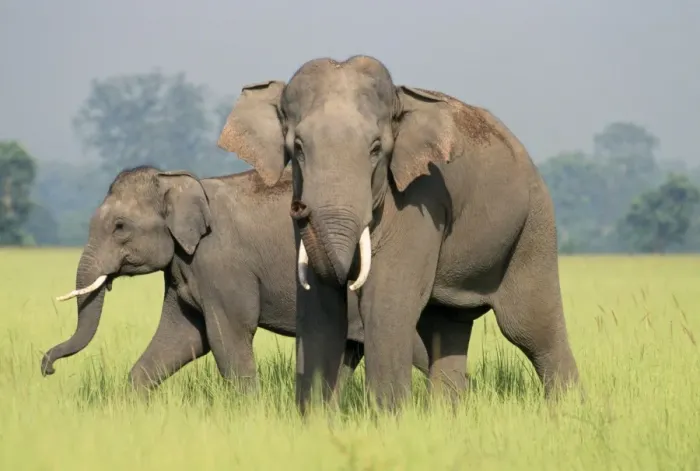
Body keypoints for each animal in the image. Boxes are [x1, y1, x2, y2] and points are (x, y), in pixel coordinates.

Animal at [40, 165, 430, 394]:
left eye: (120, 227)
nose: (46, 367)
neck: (177, 180)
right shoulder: (184, 267)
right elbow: (183, 336)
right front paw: (133, 398)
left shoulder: (220, 263)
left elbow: (225, 334)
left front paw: (249, 408)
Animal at [216, 54, 581, 412]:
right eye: (299, 148)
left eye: (376, 149)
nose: (299, 208)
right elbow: (320, 305)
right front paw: (316, 419)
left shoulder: (421, 199)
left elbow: (385, 303)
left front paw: (388, 419)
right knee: (446, 326)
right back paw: (446, 416)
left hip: (533, 225)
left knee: (529, 327)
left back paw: (568, 411)